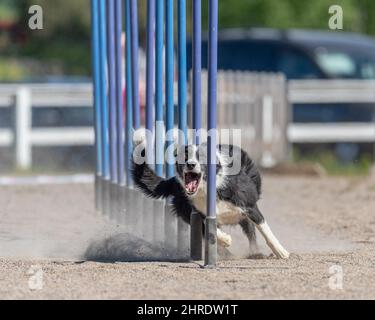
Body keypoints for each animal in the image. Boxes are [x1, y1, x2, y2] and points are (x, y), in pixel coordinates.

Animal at [132, 131, 290, 260]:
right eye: (185, 156)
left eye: (201, 157)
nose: (190, 164)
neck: (208, 187)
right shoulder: (198, 211)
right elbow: (209, 228)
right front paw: (225, 240)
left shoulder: (249, 206)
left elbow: (265, 230)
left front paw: (281, 252)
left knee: (251, 233)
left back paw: (255, 253)